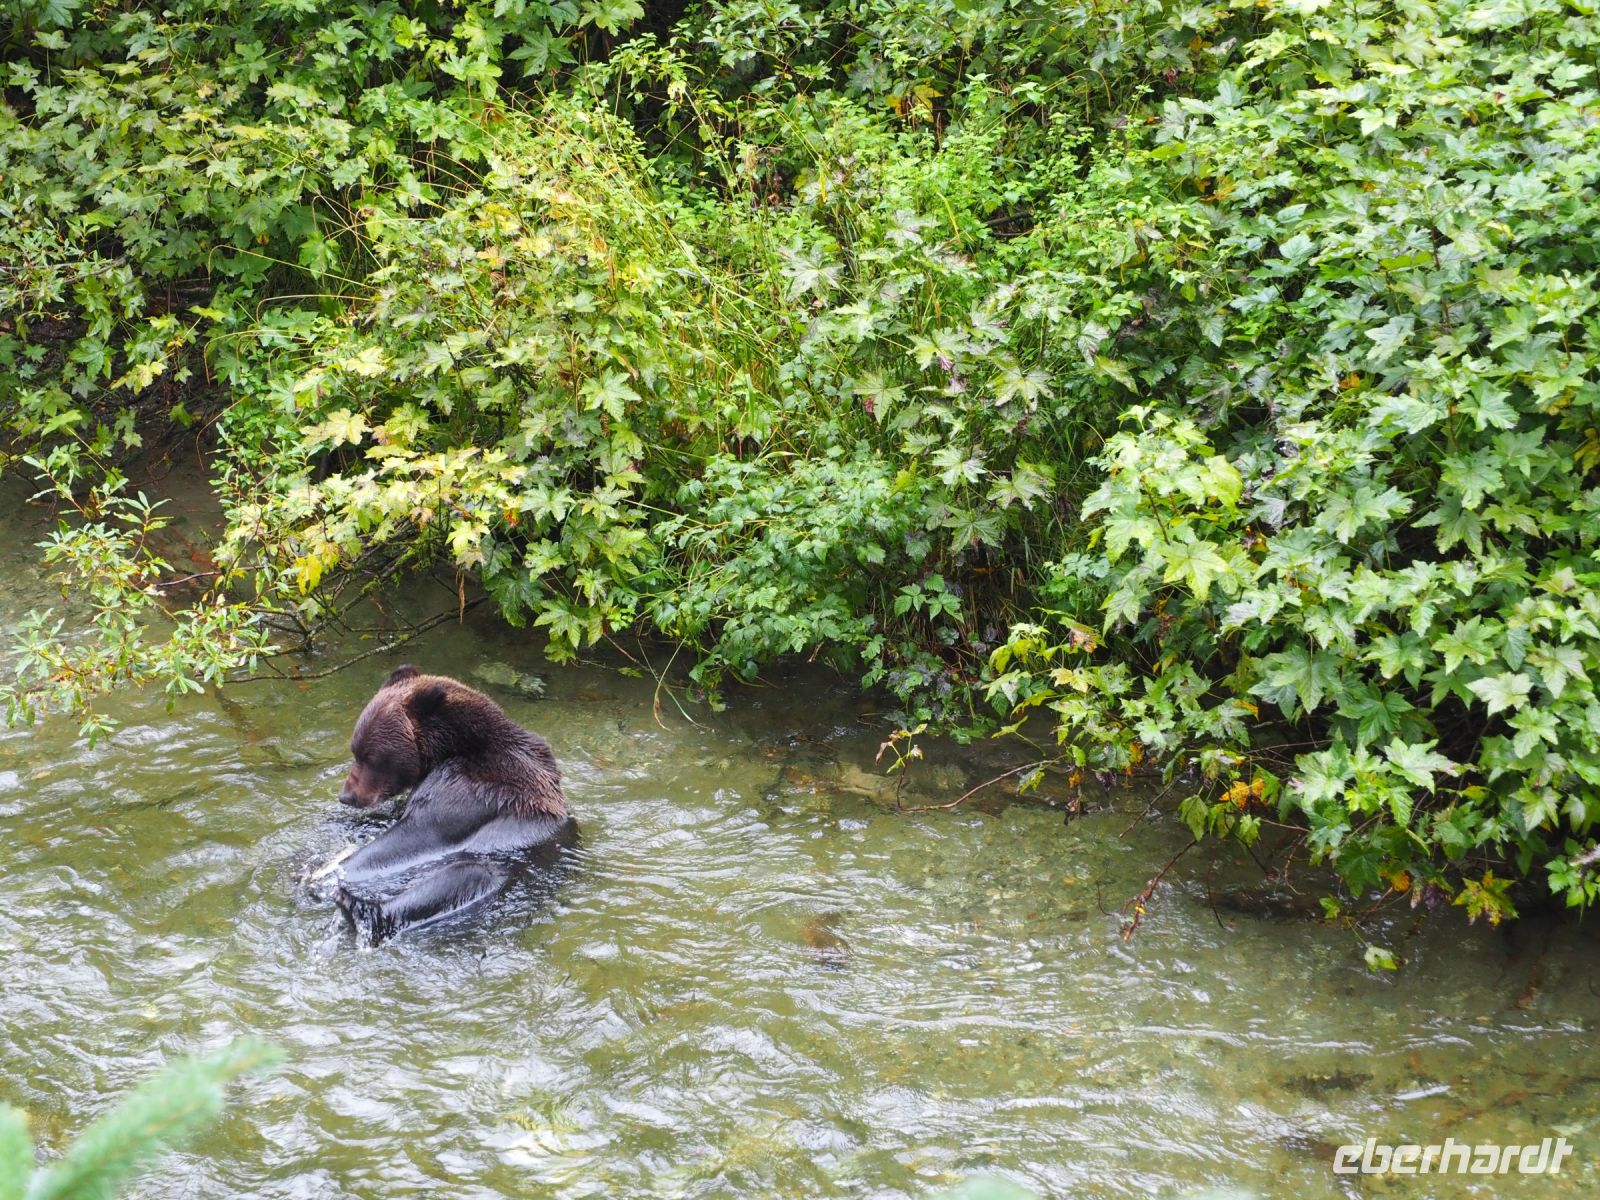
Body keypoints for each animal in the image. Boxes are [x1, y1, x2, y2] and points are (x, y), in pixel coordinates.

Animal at [323, 664, 575, 943]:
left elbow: (419, 831)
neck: (451, 748)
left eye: (371, 757)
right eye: (355, 750)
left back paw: (357, 907)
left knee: (466, 877)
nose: (347, 795)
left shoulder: (471, 788)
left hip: (515, 862)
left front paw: (330, 869)